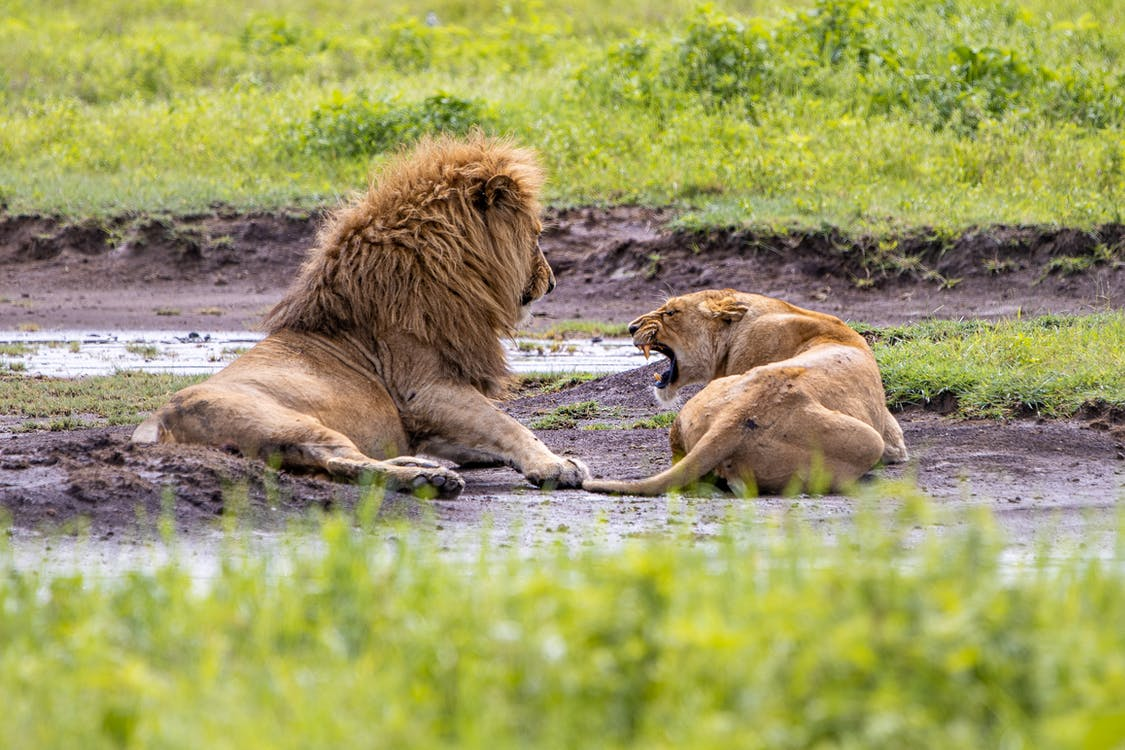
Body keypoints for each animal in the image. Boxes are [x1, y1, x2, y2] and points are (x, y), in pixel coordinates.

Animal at [130, 134, 589, 499]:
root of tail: (158, 424)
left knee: (340, 468)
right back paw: (430, 480)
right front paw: (555, 464)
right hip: (287, 423)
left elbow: (491, 432)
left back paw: (421, 469)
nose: (552, 283)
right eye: (536, 235)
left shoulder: (426, 417)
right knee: (342, 461)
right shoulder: (424, 392)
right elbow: (506, 423)